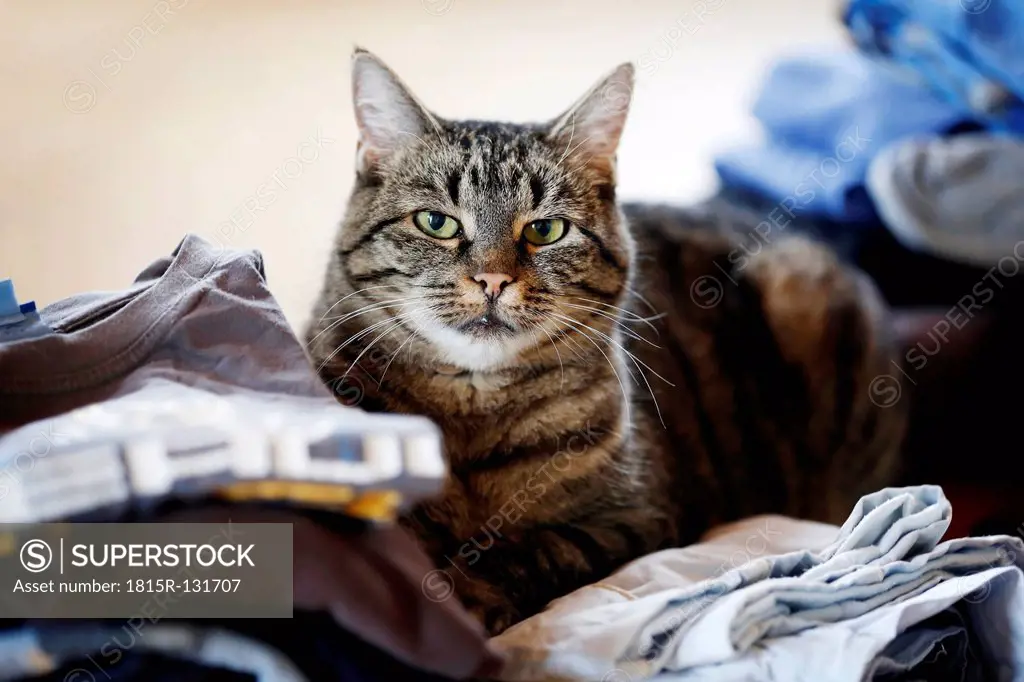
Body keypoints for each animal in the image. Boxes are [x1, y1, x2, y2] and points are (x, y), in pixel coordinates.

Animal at [301, 49, 905, 630]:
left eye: (545, 230)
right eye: (436, 222)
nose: (493, 279)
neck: (475, 411)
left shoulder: (639, 517)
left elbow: (536, 547)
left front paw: (467, 592)